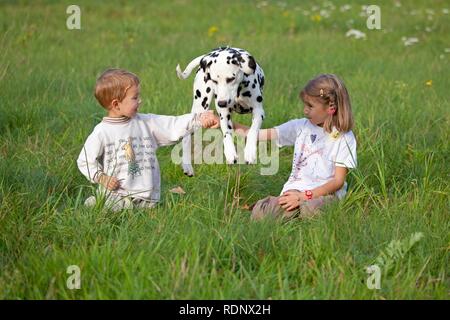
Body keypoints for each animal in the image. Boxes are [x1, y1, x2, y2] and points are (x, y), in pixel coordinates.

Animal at [176, 45, 266, 176]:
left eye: (231, 79)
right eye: (214, 80)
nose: (221, 103)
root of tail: (206, 56)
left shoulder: (259, 112)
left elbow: (252, 130)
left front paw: (250, 152)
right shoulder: (224, 114)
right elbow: (226, 132)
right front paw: (230, 152)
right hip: (200, 107)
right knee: (187, 138)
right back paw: (187, 165)